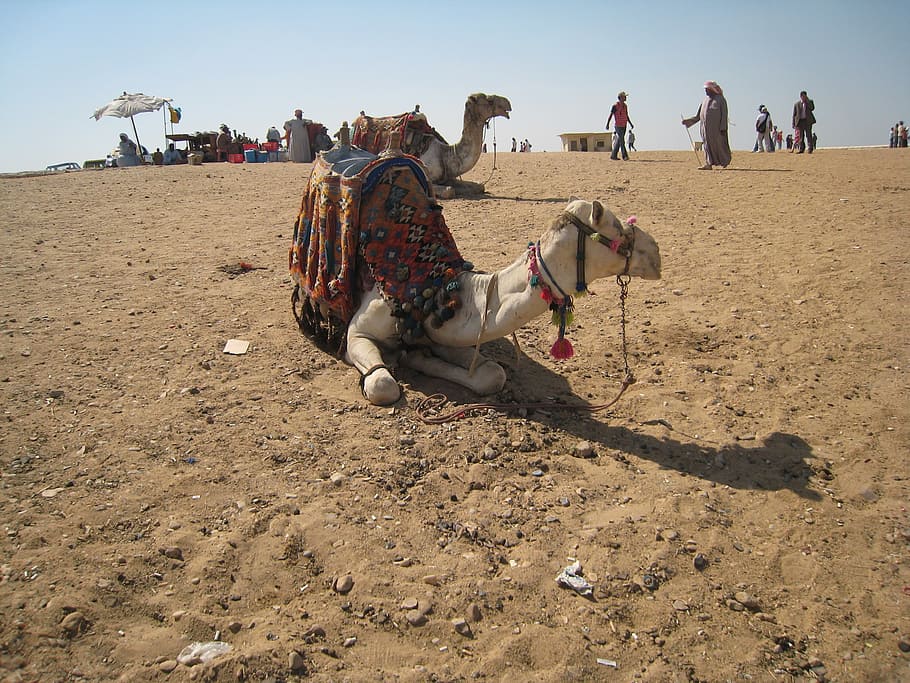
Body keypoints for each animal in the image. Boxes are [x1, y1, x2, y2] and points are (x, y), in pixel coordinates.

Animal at [290, 138, 661, 406]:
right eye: (615, 231)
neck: (433, 287)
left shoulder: (441, 331)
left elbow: (491, 373)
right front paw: (400, 360)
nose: (656, 254)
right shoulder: (359, 331)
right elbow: (382, 384)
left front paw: (419, 358)